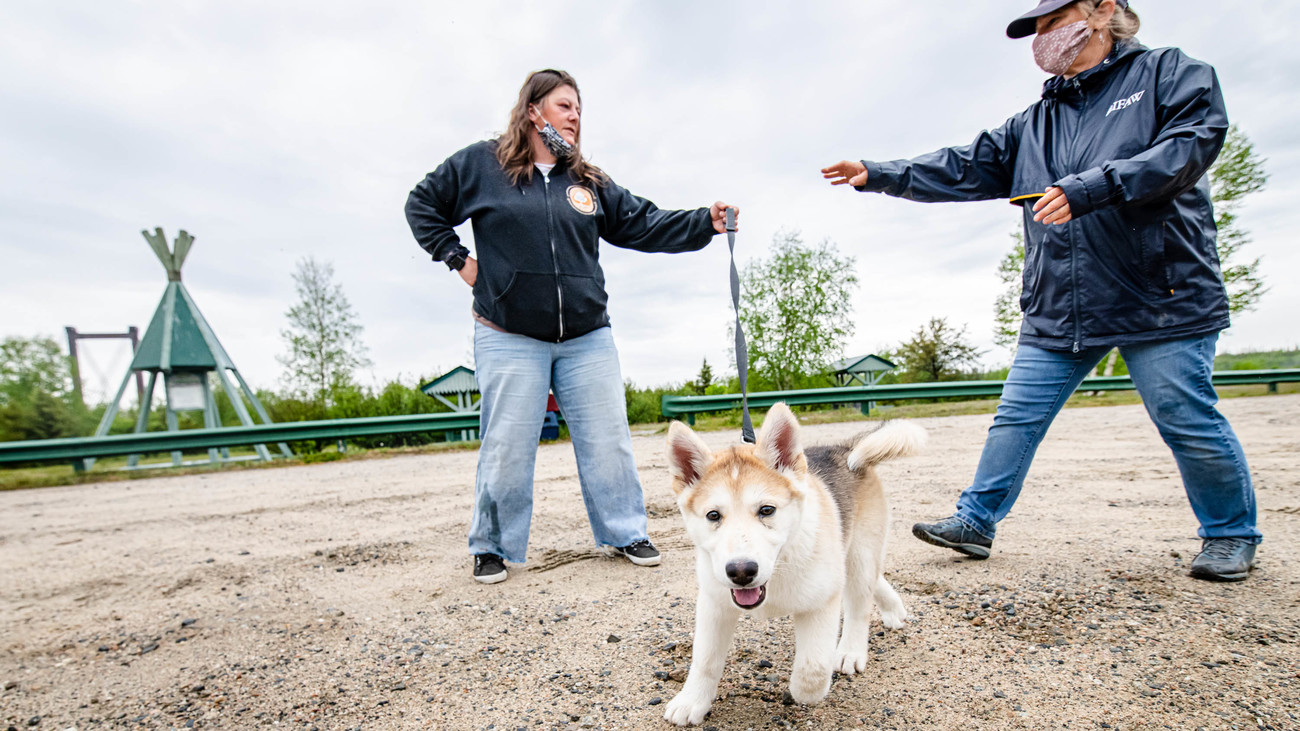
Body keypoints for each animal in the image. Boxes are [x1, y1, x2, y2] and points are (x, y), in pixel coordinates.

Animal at [660, 400, 925, 723]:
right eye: (713, 515)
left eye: (766, 510)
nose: (741, 572)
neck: (777, 572)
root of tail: (843, 449)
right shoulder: (714, 603)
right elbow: (705, 659)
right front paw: (692, 701)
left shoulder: (822, 601)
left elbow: (813, 668)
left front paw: (802, 691)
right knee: (875, 580)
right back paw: (893, 609)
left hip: (860, 554)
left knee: (859, 604)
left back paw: (851, 650)